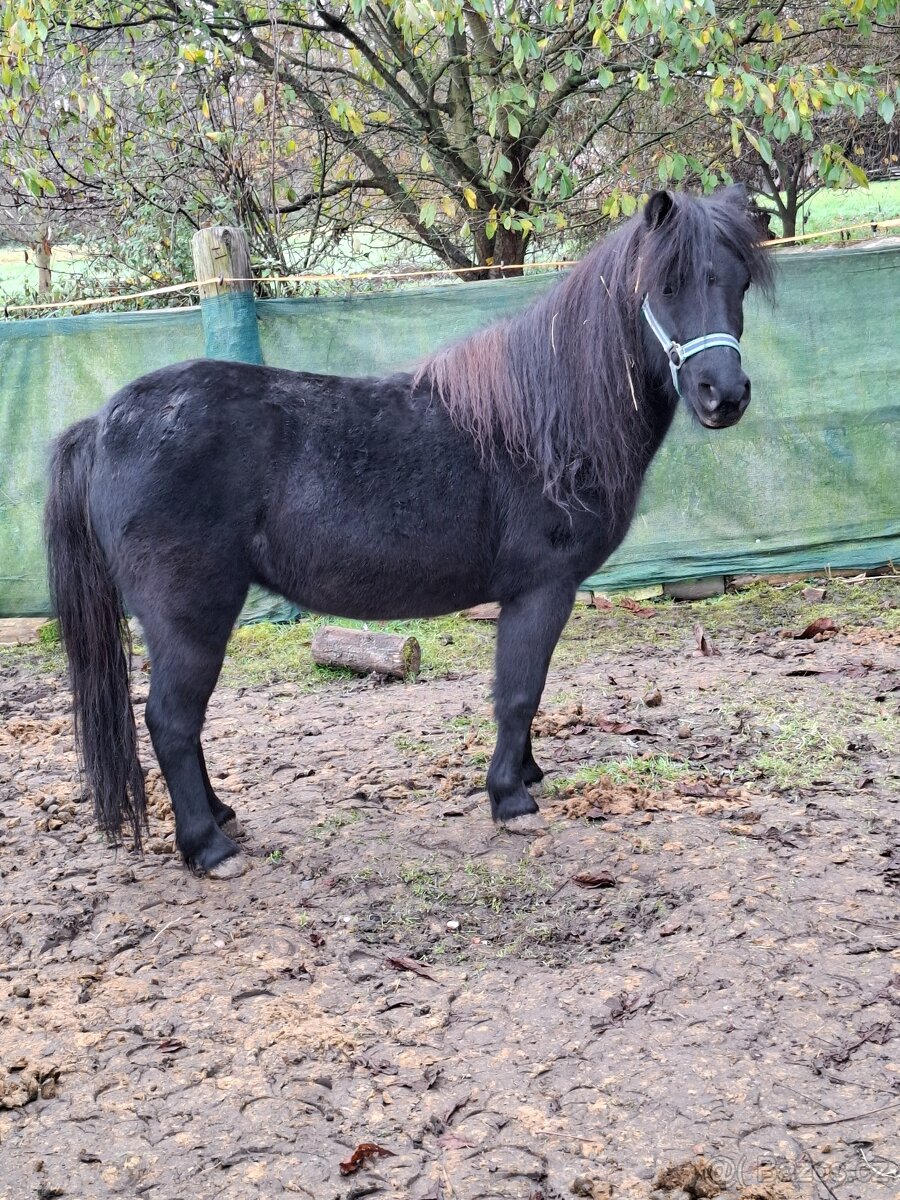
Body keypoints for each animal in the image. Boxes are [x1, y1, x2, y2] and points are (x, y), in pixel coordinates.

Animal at [45, 186, 773, 879]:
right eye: (667, 284)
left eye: (738, 283)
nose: (724, 394)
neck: (542, 423)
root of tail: (101, 425)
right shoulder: (542, 590)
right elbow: (518, 692)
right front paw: (510, 797)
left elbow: (527, 692)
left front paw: (529, 774)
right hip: (190, 615)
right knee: (171, 719)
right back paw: (208, 846)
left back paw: (221, 816)